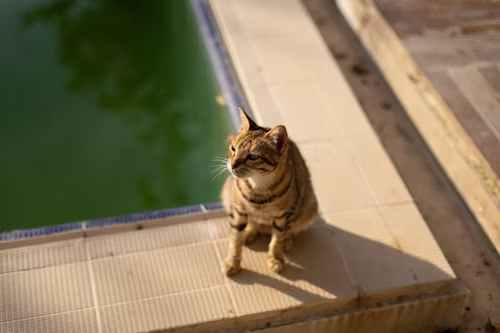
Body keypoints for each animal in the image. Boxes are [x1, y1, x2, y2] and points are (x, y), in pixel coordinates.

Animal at [222, 107, 318, 274]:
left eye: (253, 157)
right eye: (233, 149)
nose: (232, 165)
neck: (257, 186)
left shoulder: (283, 216)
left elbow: (276, 240)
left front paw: (274, 258)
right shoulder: (238, 211)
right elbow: (235, 241)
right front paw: (233, 263)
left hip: (309, 207)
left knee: (289, 229)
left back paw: (286, 241)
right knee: (254, 225)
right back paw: (249, 232)